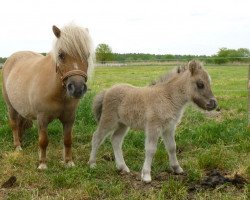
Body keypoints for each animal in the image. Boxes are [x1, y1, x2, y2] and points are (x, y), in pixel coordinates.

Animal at [2, 24, 94, 170]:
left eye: (87, 54)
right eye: (61, 55)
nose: (77, 88)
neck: (57, 92)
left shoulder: (69, 118)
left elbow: (68, 140)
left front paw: (69, 162)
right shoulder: (42, 119)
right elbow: (43, 141)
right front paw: (43, 164)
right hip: (10, 106)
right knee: (14, 124)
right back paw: (17, 146)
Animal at [89, 61, 218, 183]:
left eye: (209, 82)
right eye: (200, 84)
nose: (213, 104)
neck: (168, 97)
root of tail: (106, 91)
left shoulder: (169, 128)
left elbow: (172, 147)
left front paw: (177, 168)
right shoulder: (154, 127)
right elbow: (151, 149)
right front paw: (146, 175)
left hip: (123, 124)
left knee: (115, 140)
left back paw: (123, 167)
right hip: (108, 120)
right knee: (97, 137)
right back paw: (92, 164)